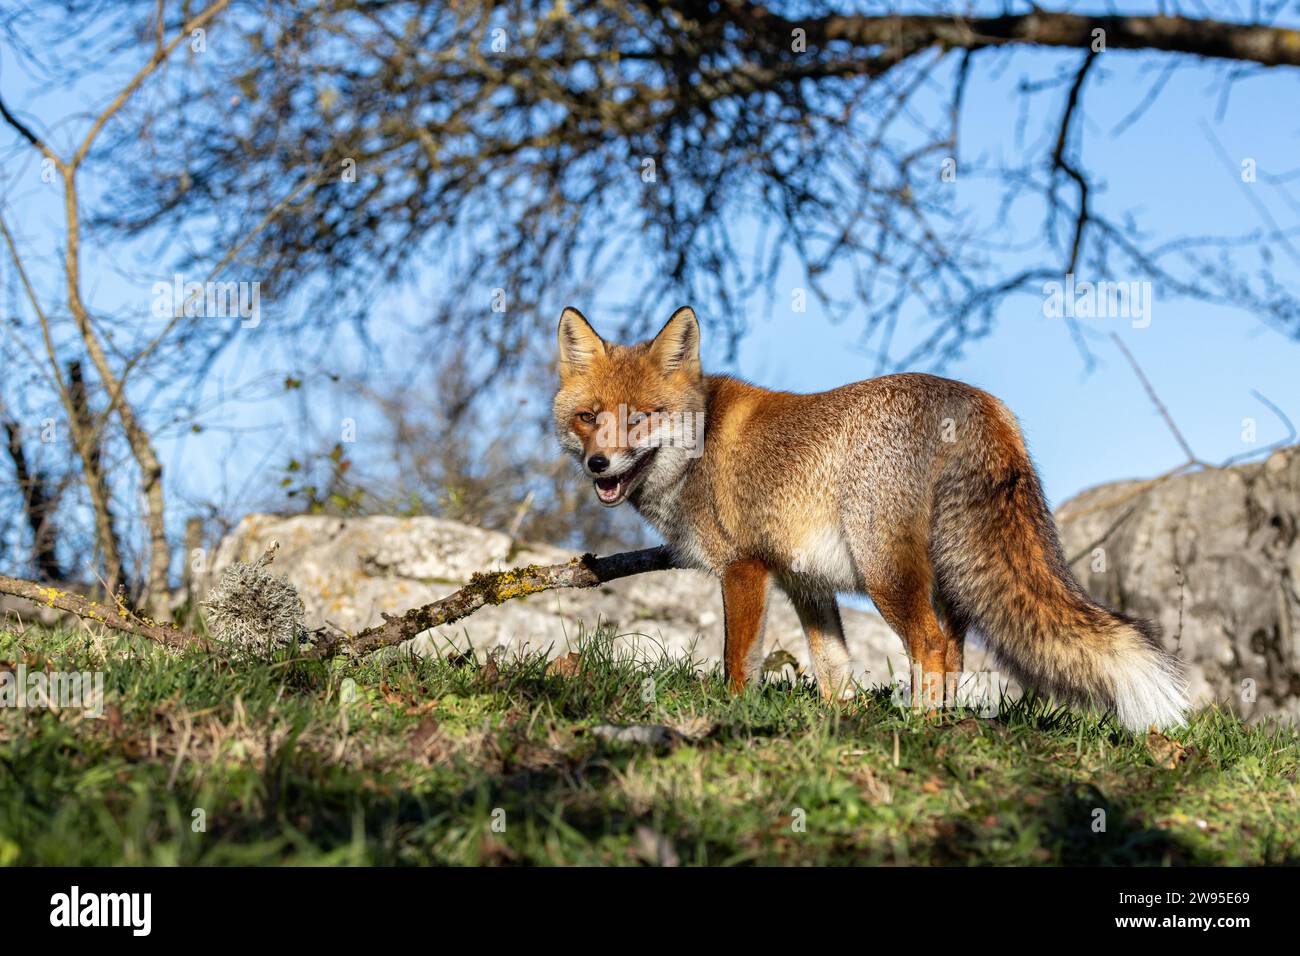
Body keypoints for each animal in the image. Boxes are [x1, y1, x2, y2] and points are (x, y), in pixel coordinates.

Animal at [552, 305, 1189, 732]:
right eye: (588, 417)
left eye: (640, 418)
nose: (598, 464)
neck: (698, 446)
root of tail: (978, 400)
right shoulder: (804, 580)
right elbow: (832, 665)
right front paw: (839, 718)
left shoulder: (745, 568)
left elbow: (738, 660)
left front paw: (732, 712)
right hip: (947, 581)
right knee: (953, 652)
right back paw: (941, 723)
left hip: (887, 574)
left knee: (929, 646)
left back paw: (920, 728)